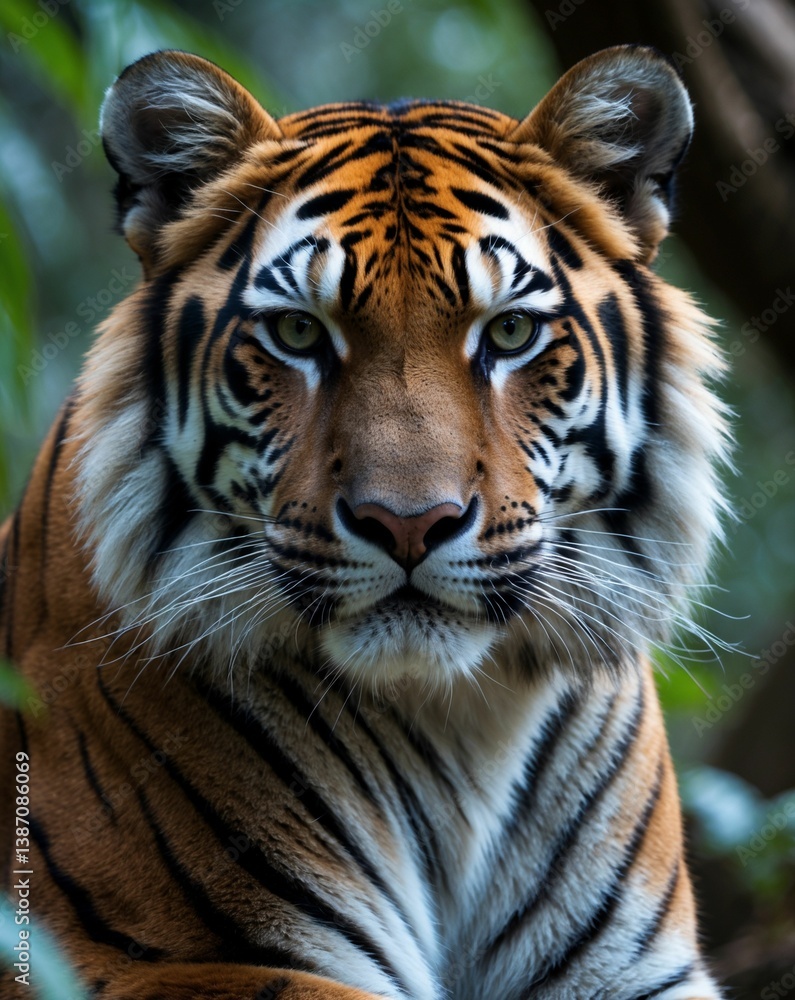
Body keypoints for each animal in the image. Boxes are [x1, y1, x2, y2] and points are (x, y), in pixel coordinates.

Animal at [0, 44, 729, 999]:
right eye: (298, 333)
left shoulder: (634, 971)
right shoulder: (128, 959)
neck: (463, 722)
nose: (408, 524)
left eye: (511, 333)